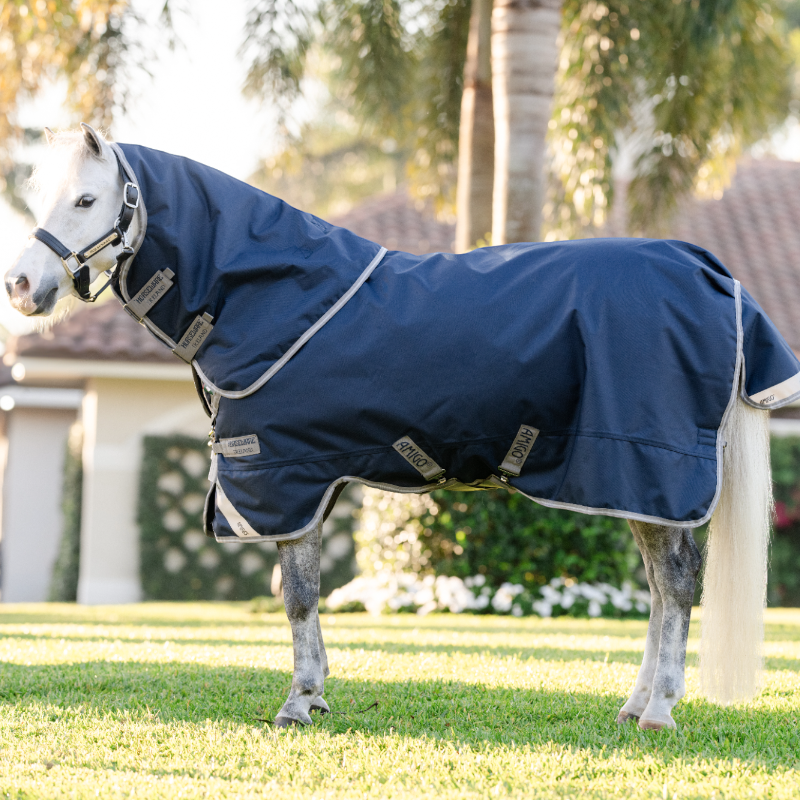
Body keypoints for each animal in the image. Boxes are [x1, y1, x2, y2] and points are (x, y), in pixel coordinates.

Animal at [5, 124, 790, 731]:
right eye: (42, 197)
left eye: (86, 200)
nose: (21, 286)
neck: (270, 296)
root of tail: (711, 272)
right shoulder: (307, 483)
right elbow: (304, 593)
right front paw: (314, 697)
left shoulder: (286, 478)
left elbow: (296, 596)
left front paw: (299, 702)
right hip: (633, 485)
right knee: (661, 587)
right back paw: (634, 706)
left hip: (648, 470)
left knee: (678, 585)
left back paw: (658, 710)